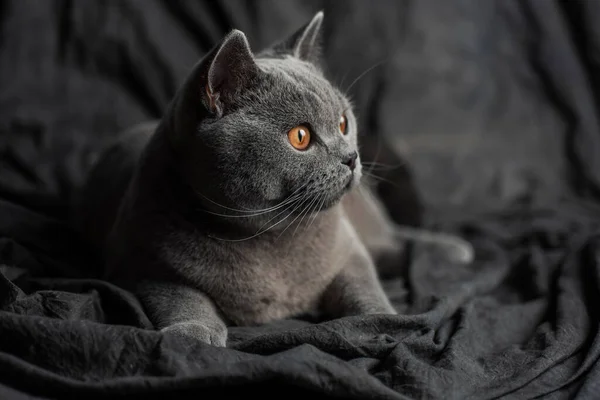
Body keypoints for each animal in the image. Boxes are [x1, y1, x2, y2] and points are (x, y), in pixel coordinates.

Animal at [74, 10, 474, 346]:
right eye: (300, 137)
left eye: (343, 123)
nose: (351, 157)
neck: (271, 241)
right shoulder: (143, 266)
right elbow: (182, 297)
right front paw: (193, 334)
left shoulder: (348, 251)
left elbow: (365, 285)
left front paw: (387, 318)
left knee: (394, 243)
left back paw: (452, 250)